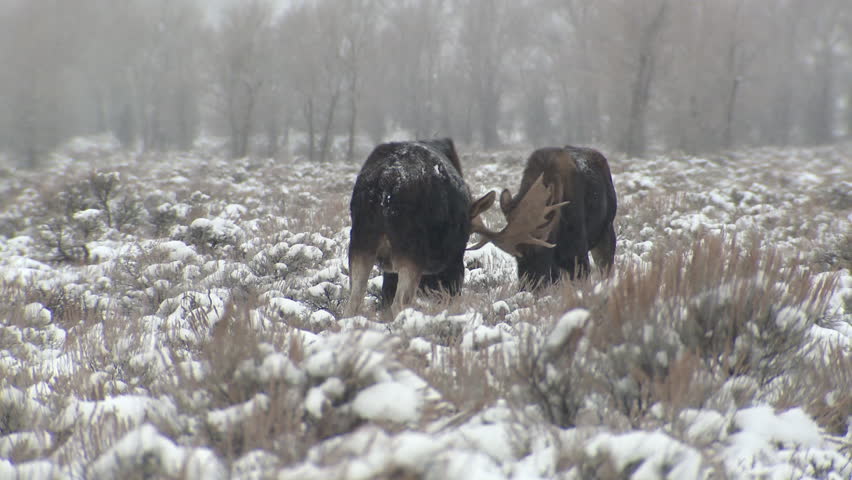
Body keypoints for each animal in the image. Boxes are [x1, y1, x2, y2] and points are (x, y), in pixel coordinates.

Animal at [343, 138, 563, 317]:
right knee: (399, 303)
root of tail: (385, 181)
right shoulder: (454, 261)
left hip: (361, 242)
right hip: (411, 250)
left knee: (355, 301)